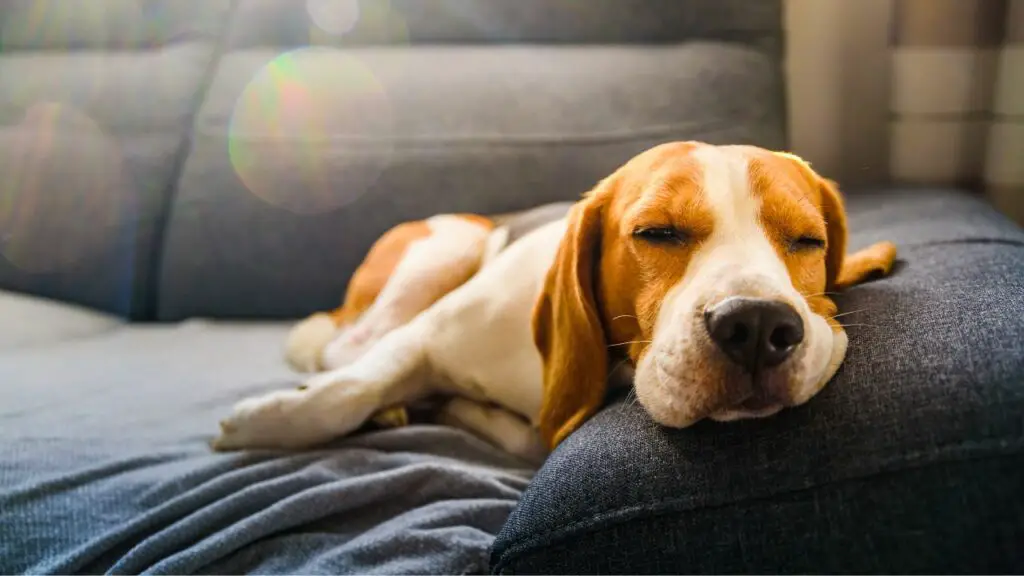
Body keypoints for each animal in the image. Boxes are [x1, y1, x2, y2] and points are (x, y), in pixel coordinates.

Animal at [209, 141, 897, 459]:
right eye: (656, 232)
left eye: (808, 240)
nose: (755, 325)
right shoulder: (424, 337)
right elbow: (349, 390)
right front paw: (268, 421)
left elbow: (531, 437)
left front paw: (460, 409)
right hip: (445, 247)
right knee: (345, 352)